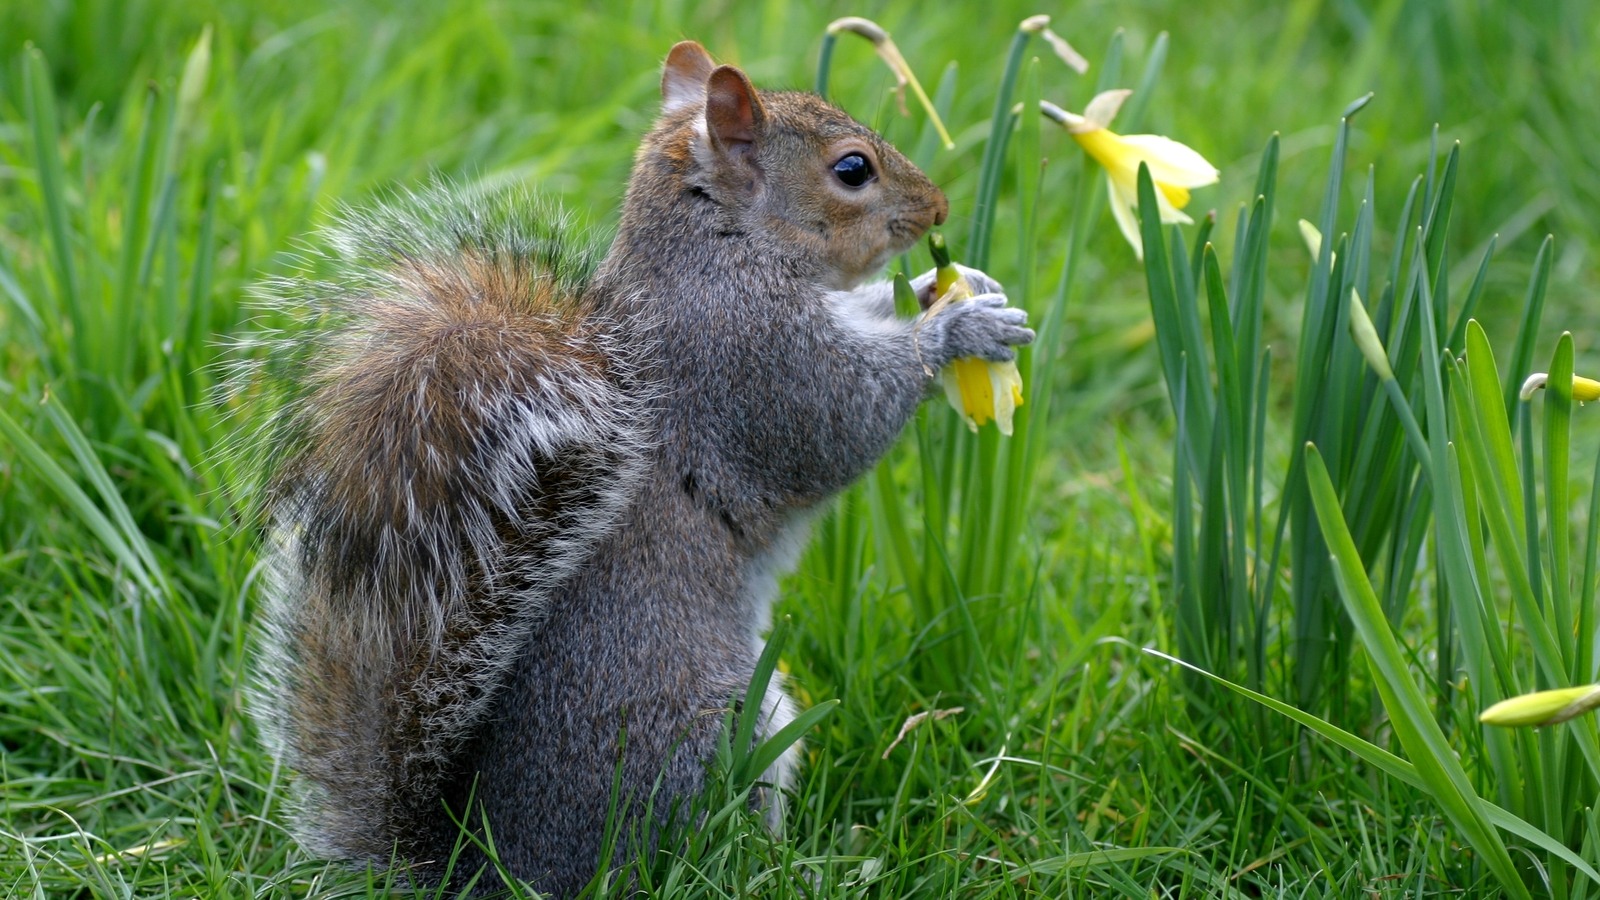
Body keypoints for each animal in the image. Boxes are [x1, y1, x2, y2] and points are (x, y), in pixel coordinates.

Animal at [243, 38, 1030, 890]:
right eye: (853, 169)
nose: (940, 211)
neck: (719, 248)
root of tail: (489, 866)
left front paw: (953, 285)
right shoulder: (750, 361)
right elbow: (838, 422)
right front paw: (958, 329)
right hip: (713, 730)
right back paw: (790, 867)